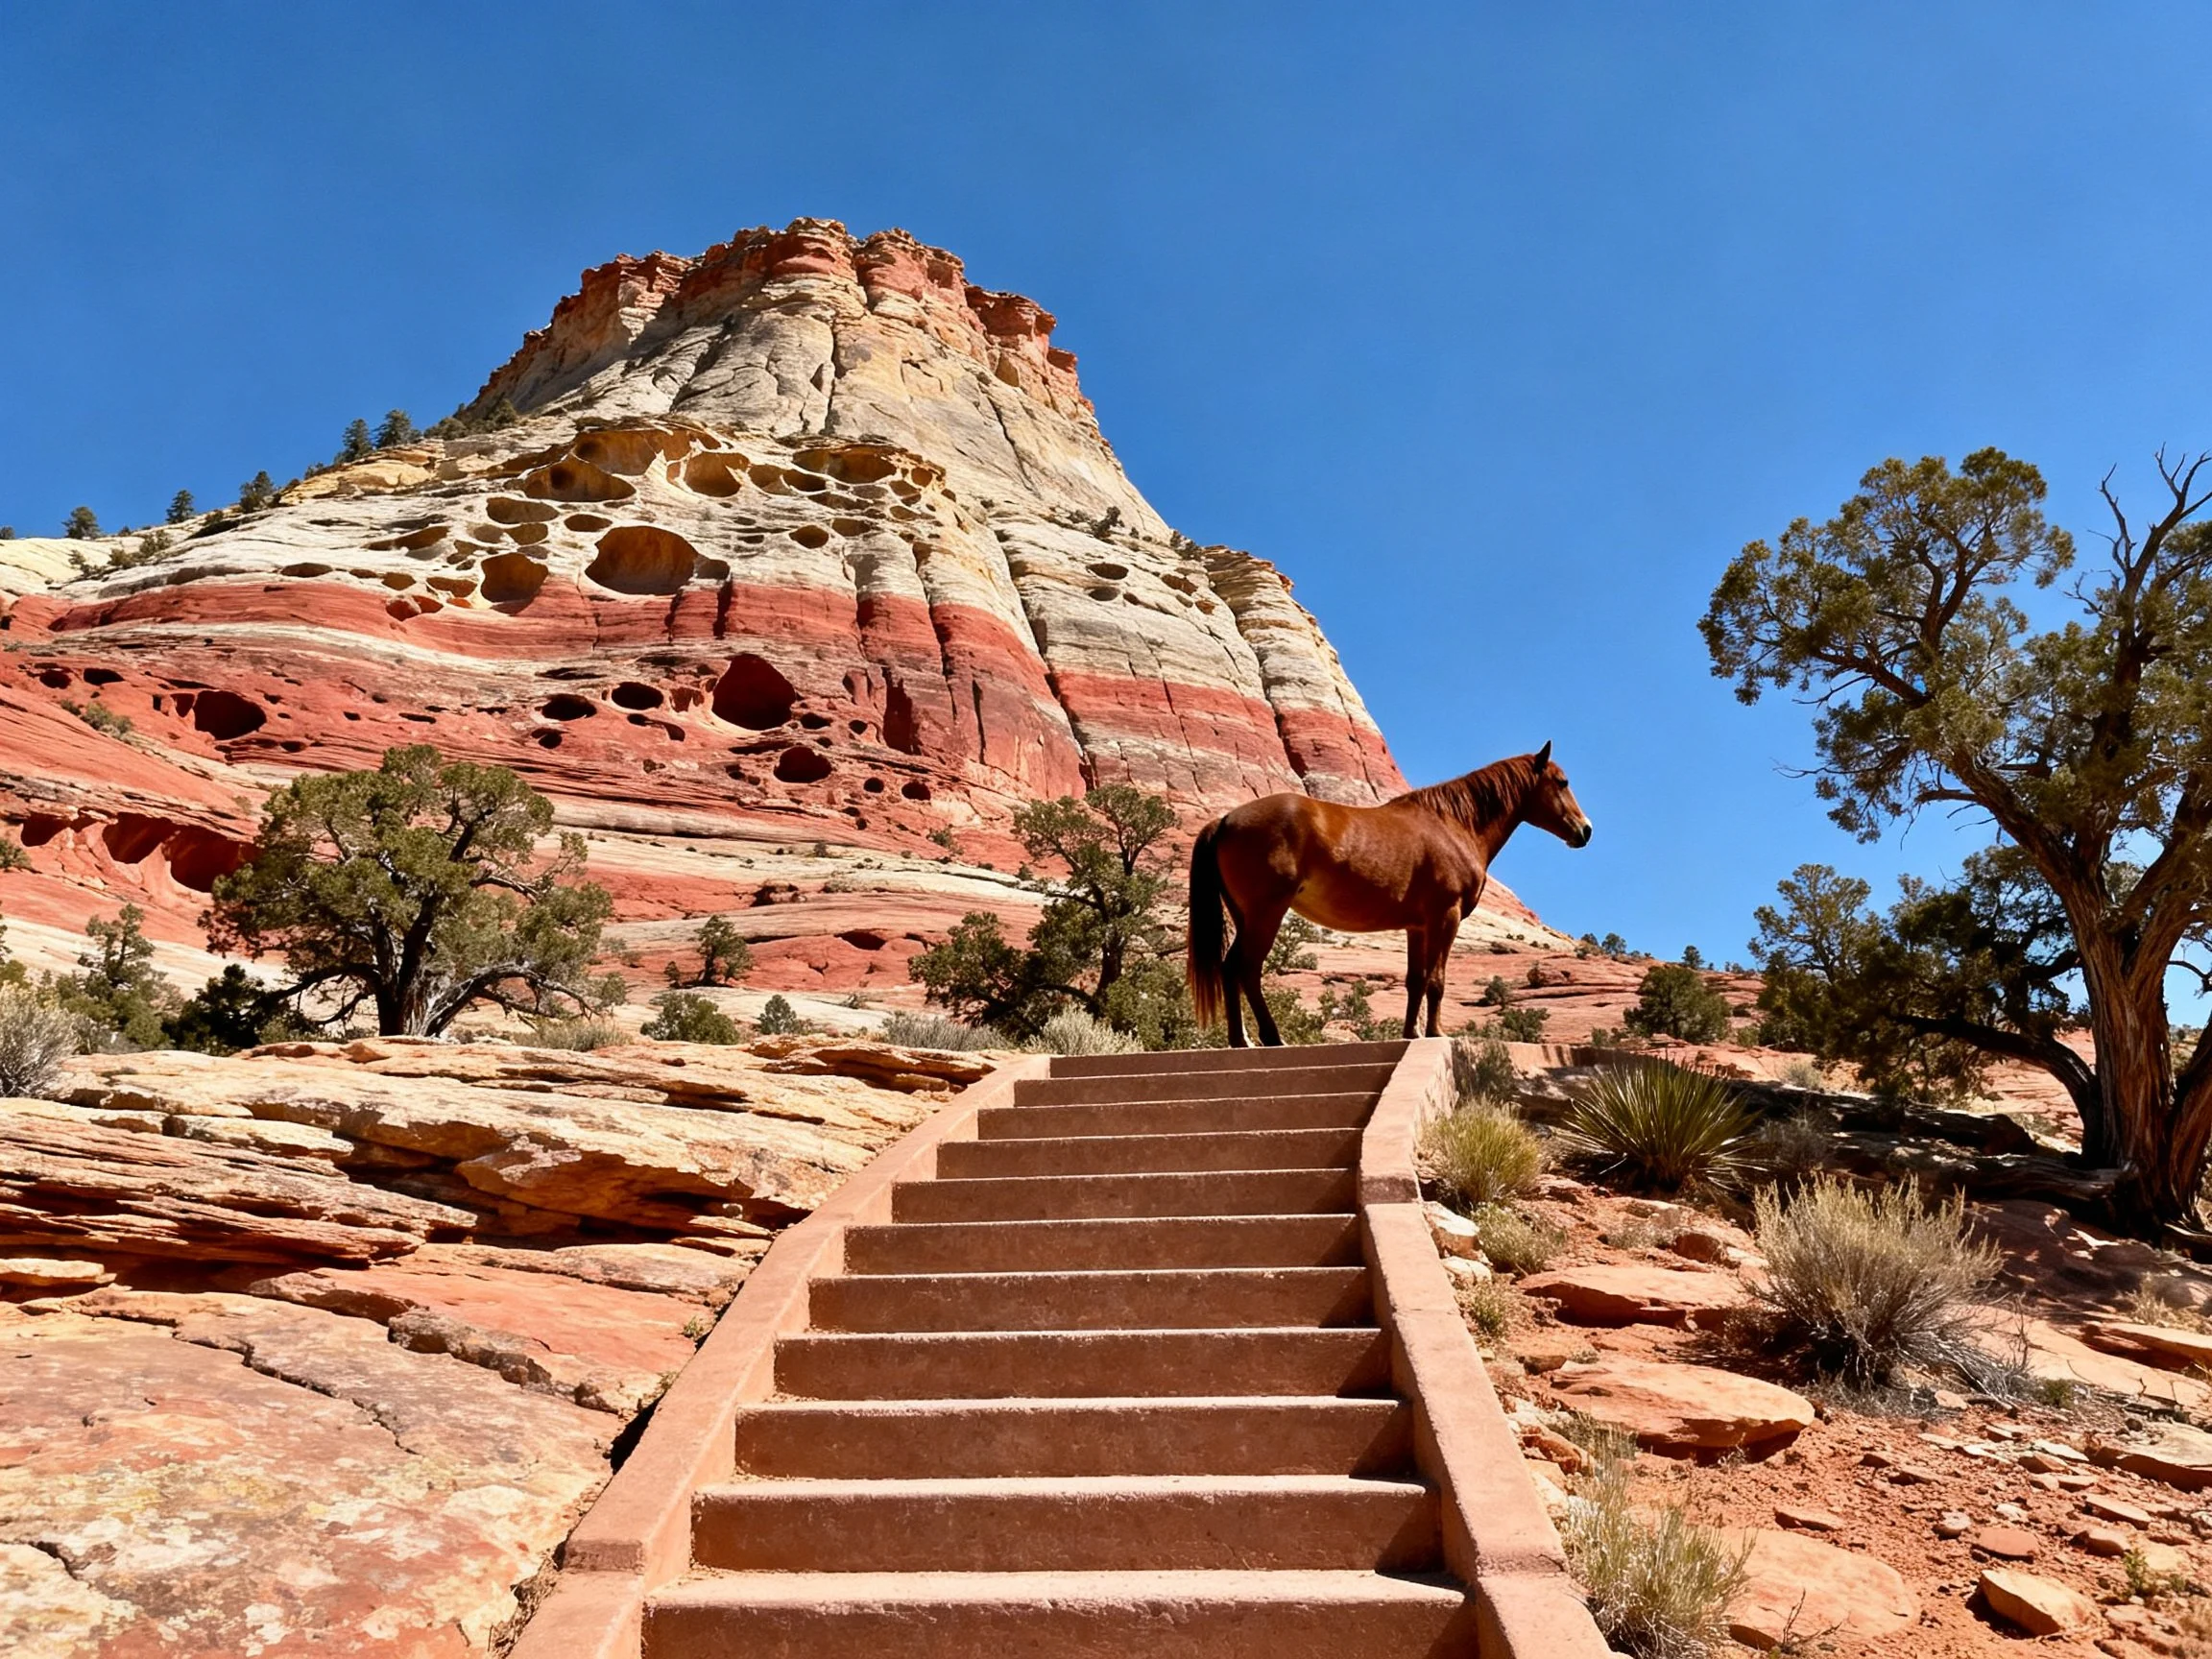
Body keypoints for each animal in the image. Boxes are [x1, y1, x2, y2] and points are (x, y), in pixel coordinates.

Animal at [1186, 744, 1593, 1046]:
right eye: (1562, 782)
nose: (1585, 830)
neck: (1453, 826)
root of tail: (1224, 820)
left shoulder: (1417, 927)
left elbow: (1415, 980)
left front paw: (1411, 1033)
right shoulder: (1445, 918)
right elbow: (1437, 980)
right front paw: (1436, 1033)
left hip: (1245, 916)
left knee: (1231, 968)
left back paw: (1241, 1040)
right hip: (1266, 914)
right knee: (1247, 968)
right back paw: (1269, 1039)